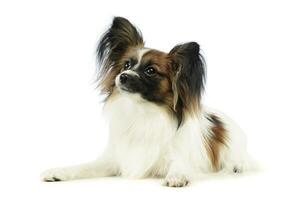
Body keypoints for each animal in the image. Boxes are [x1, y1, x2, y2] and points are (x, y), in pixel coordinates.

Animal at [40, 16, 251, 187]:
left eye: (150, 71)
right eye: (126, 65)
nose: (123, 76)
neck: (141, 111)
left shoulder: (181, 157)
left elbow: (180, 166)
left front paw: (177, 176)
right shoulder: (113, 160)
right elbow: (84, 167)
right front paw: (58, 172)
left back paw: (237, 166)